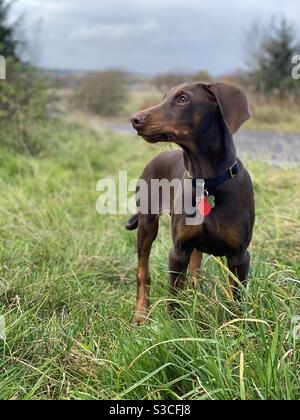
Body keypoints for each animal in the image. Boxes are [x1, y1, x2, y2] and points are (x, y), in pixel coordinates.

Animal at [125, 83, 254, 324]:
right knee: (143, 272)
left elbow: (237, 299)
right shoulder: (178, 250)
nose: (134, 119)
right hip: (147, 224)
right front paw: (173, 326)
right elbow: (173, 298)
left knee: (195, 271)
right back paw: (141, 314)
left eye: (183, 99)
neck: (208, 183)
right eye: (164, 97)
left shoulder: (239, 255)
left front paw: (237, 325)